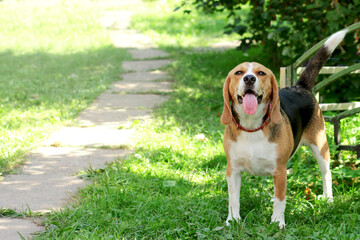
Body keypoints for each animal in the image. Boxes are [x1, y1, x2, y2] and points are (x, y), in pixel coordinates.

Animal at [221, 29, 348, 228]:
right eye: (238, 72)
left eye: (261, 73)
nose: (249, 78)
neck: (253, 127)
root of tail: (300, 86)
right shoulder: (232, 169)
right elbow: (233, 199)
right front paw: (233, 220)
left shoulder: (279, 170)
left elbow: (281, 199)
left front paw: (277, 222)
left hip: (320, 147)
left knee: (326, 174)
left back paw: (328, 200)